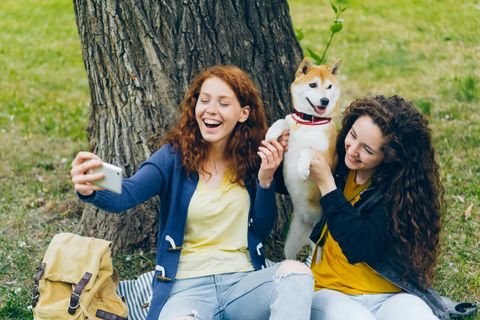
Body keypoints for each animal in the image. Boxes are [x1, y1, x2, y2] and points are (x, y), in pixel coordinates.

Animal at [266, 56, 342, 258]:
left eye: (329, 87)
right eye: (313, 84)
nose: (324, 100)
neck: (309, 122)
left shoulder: (328, 158)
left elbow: (308, 150)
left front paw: (302, 169)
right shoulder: (291, 122)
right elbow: (283, 120)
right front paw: (271, 133)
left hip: (318, 244)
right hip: (291, 242)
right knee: (290, 256)